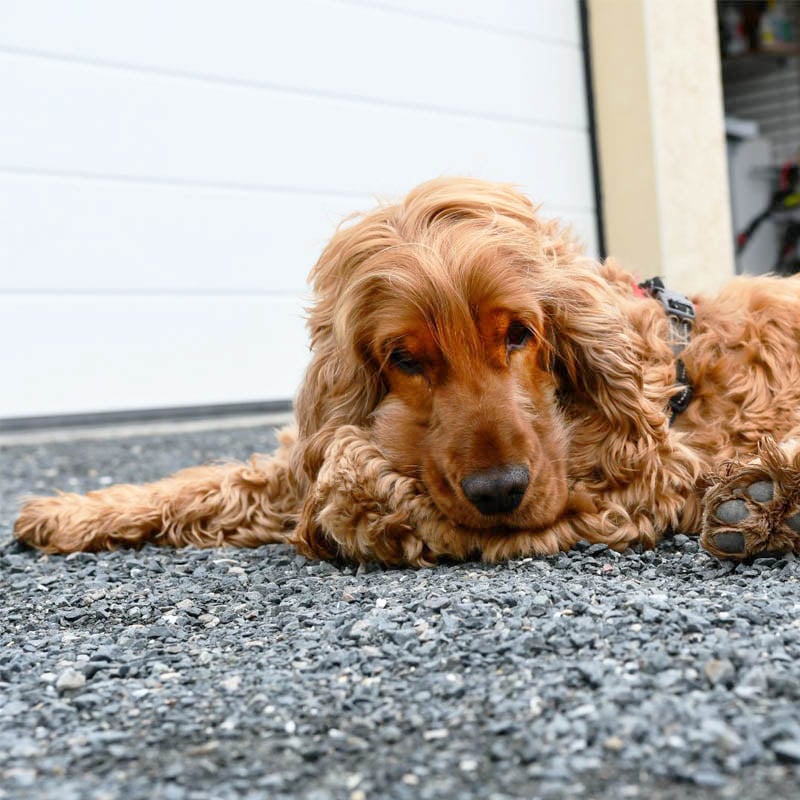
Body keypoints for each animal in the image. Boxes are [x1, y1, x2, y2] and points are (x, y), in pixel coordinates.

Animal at [14, 176, 800, 564]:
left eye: (520, 334)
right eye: (405, 358)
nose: (498, 490)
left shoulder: (630, 482)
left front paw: (362, 496)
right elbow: (212, 483)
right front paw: (68, 511)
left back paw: (763, 501)